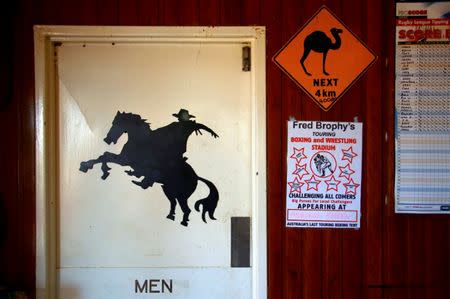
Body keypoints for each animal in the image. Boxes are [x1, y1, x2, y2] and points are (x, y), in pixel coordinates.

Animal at [81, 112, 221, 227]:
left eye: (116, 123)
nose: (107, 139)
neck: (139, 141)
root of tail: (196, 177)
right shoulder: (124, 160)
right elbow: (105, 155)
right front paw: (96, 169)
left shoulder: (125, 161)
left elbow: (105, 156)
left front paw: (91, 167)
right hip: (168, 191)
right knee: (174, 203)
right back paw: (170, 216)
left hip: (181, 196)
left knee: (186, 209)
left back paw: (183, 222)